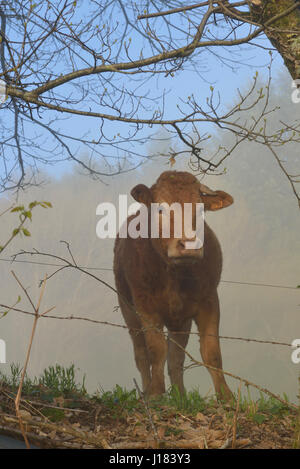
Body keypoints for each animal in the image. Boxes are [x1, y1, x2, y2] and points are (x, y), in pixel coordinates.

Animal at [113, 171, 233, 398]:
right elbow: (156, 349)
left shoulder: (209, 301)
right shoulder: (145, 306)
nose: (189, 245)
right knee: (141, 355)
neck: (175, 275)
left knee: (175, 359)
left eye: (200, 209)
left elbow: (212, 352)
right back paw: (146, 390)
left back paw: (180, 396)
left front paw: (226, 397)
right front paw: (155, 394)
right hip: (128, 310)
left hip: (181, 321)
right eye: (160, 209)